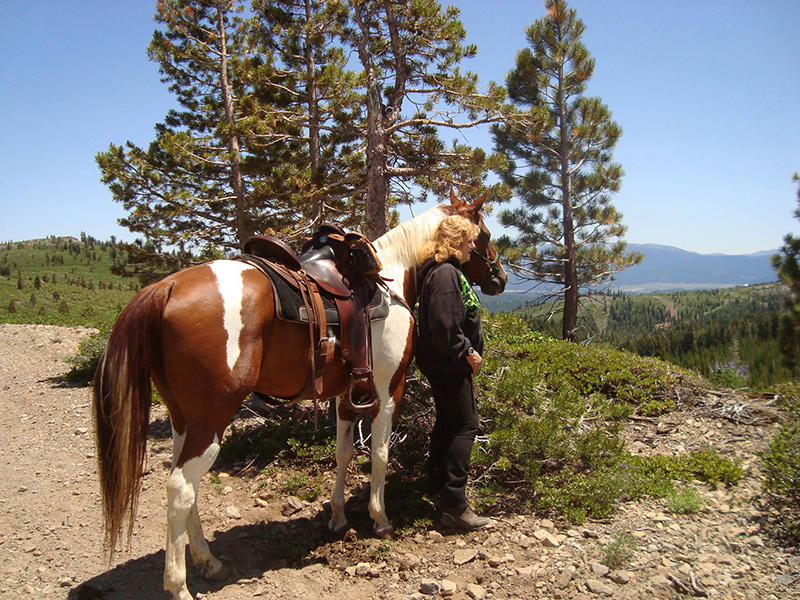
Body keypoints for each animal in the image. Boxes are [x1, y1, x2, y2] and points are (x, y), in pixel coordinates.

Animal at [94, 192, 506, 600]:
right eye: (485, 235)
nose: (500, 278)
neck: (390, 276)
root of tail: (167, 288)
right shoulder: (389, 389)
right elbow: (379, 454)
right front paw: (380, 519)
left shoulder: (347, 394)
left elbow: (343, 452)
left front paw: (338, 517)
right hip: (211, 420)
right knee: (180, 488)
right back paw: (179, 586)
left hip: (186, 420)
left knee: (186, 486)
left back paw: (207, 561)